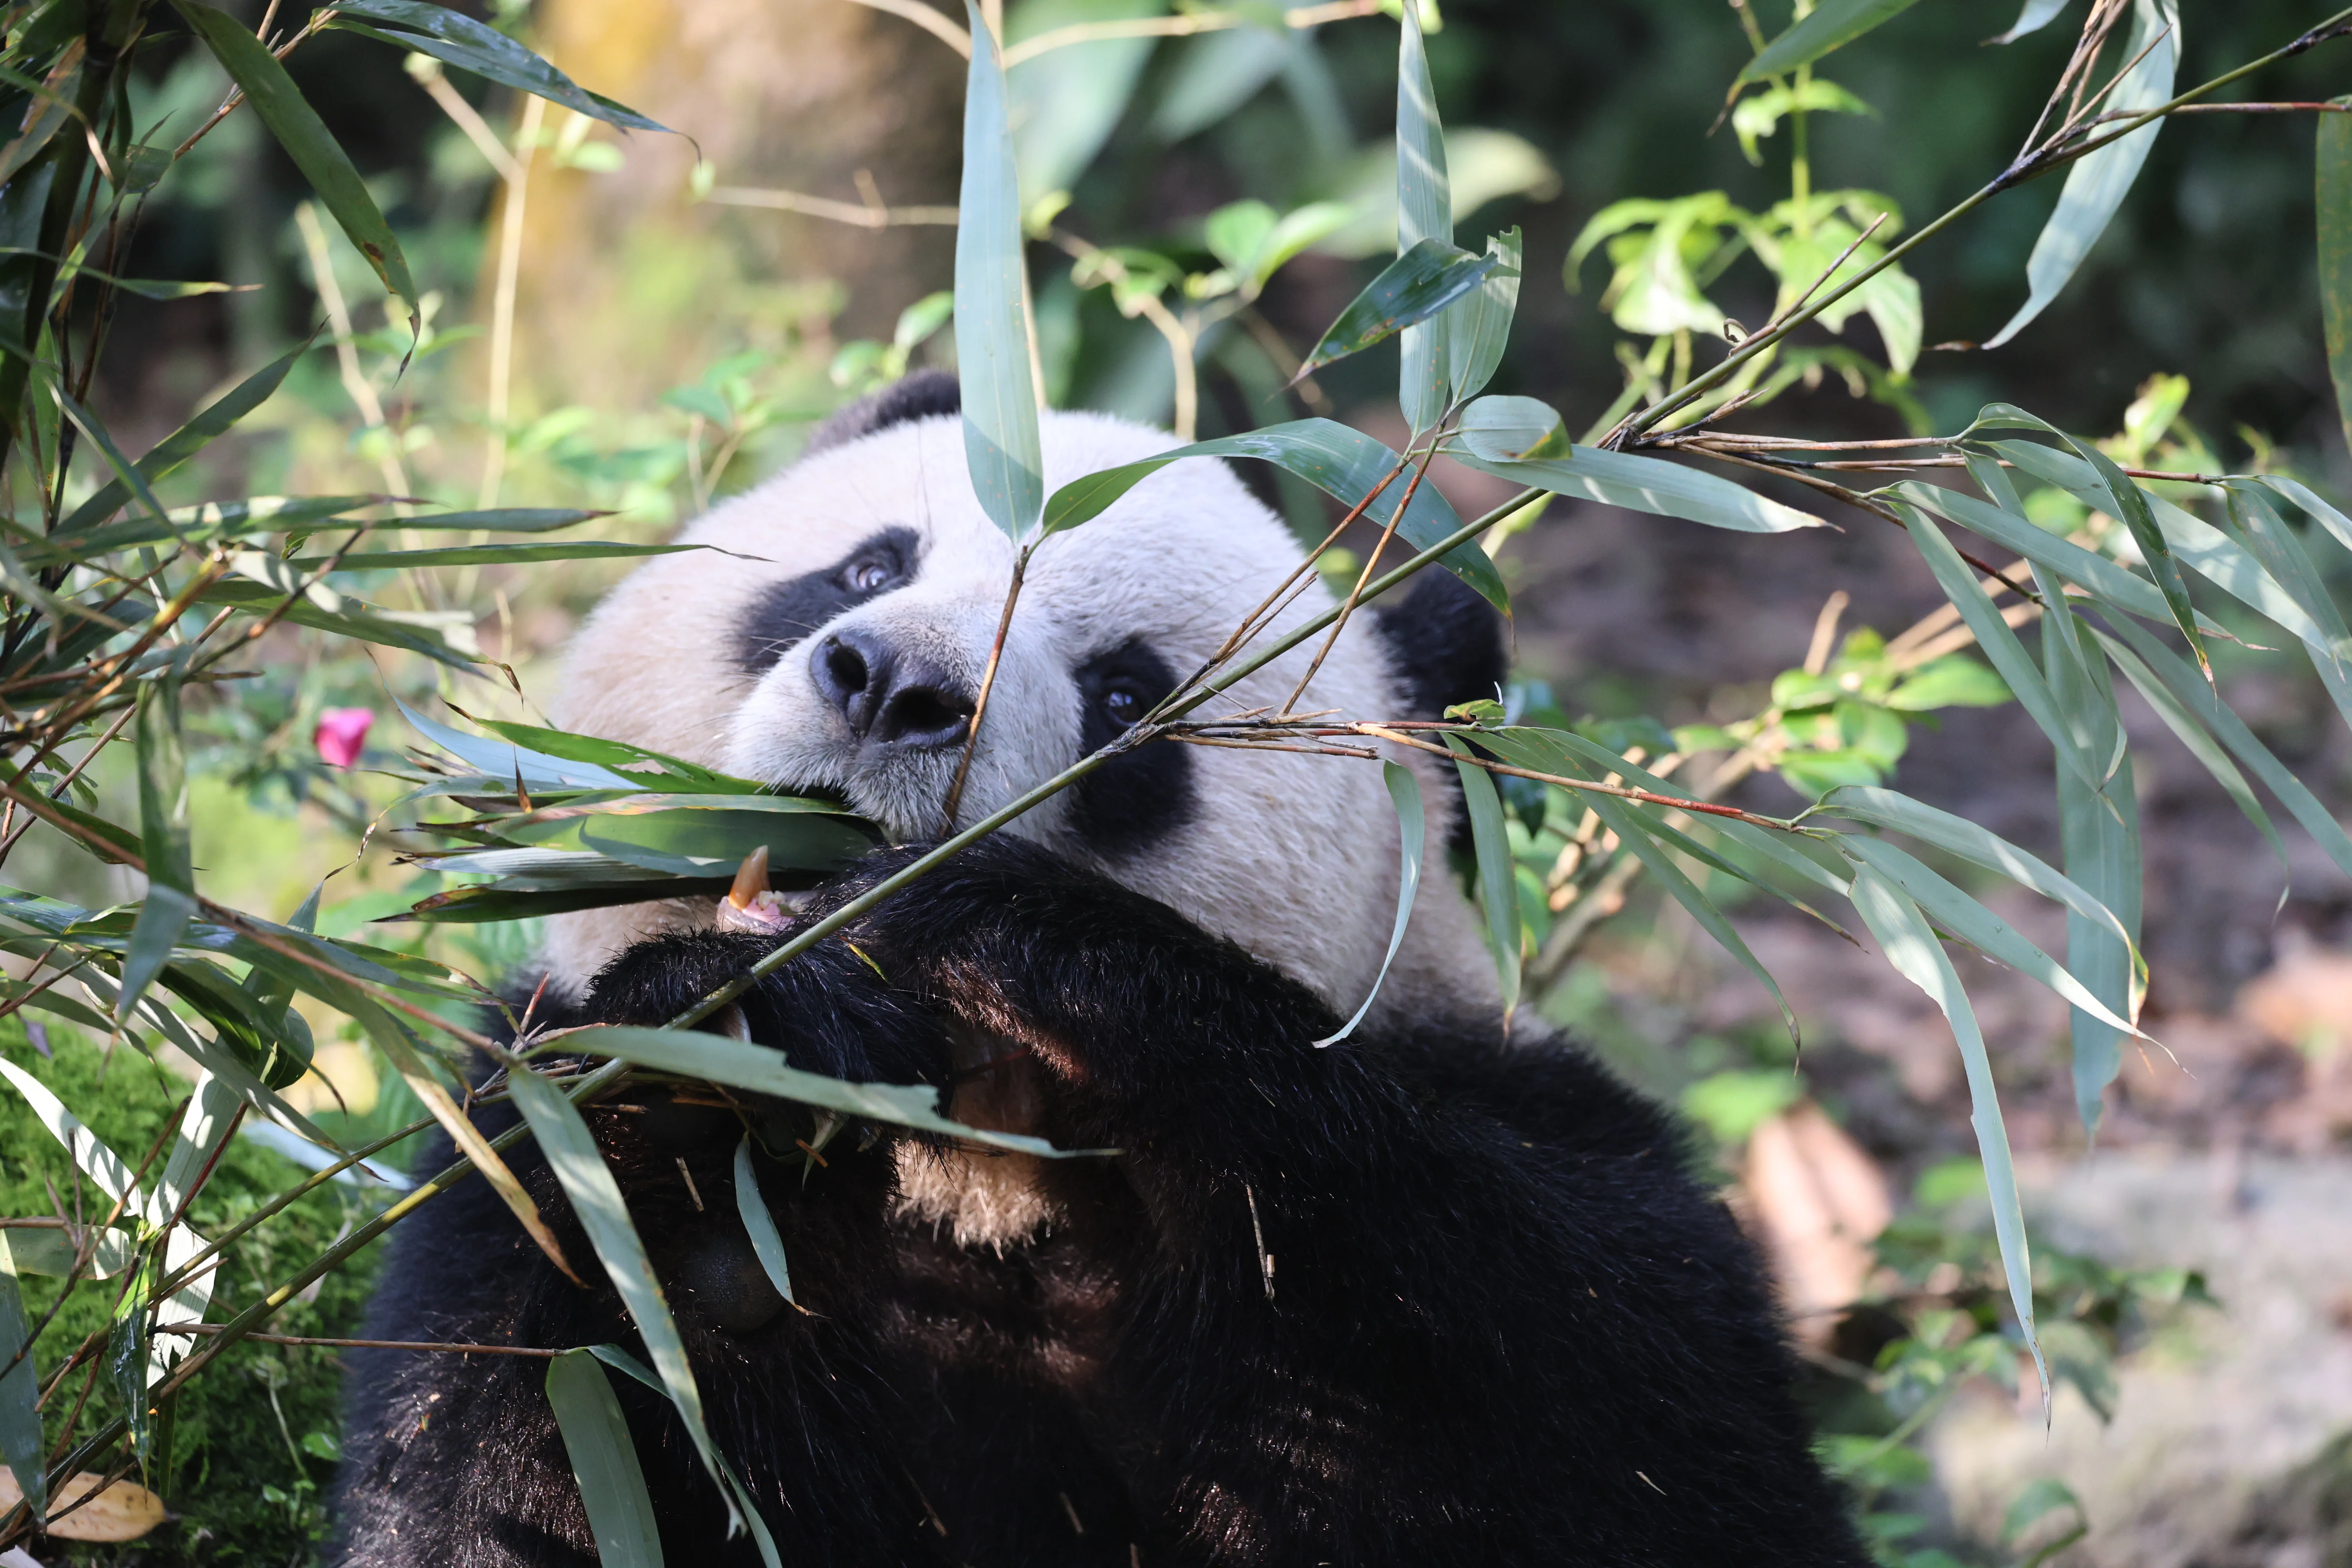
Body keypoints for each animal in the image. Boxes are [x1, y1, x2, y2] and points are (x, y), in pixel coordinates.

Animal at [332, 370, 1868, 1567]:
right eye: (870, 567)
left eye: (1129, 697)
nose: (891, 686)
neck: (968, 1175)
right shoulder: (530, 1181)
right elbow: (516, 1448)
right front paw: (745, 1032)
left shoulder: (1507, 1191)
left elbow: (1635, 1412)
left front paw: (1005, 932)